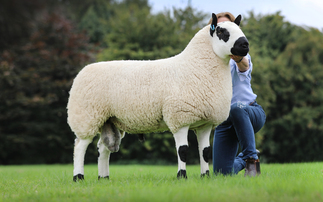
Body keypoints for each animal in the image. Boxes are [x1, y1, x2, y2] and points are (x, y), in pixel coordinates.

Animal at [68, 12, 251, 181]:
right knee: (80, 146)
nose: (245, 44)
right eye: (221, 31)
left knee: (103, 148)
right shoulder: (179, 118)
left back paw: (103, 177)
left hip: (109, 119)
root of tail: (83, 71)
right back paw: (78, 177)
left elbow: (205, 152)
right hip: (86, 116)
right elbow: (183, 151)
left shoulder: (204, 123)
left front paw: (205, 176)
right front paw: (182, 176)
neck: (195, 66)